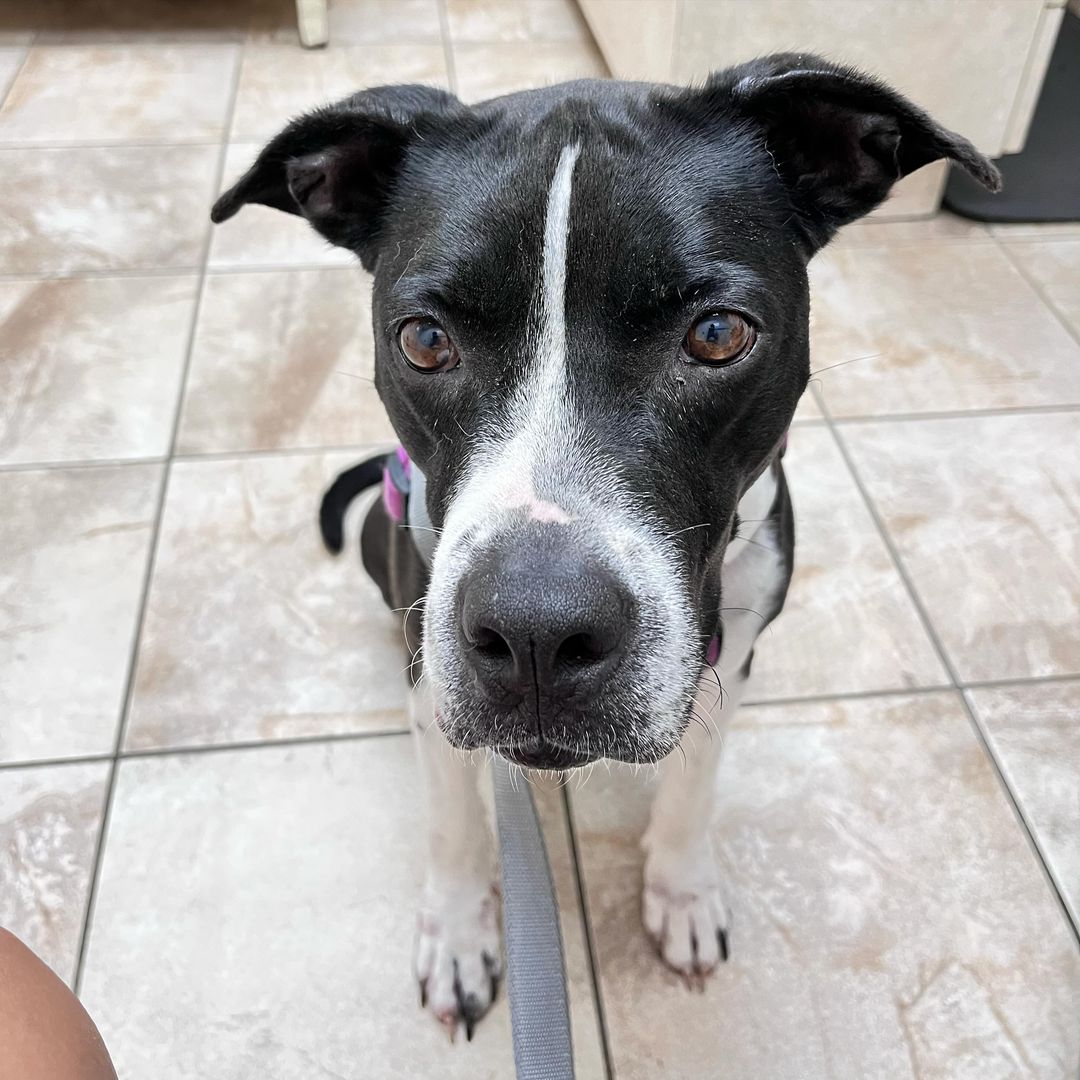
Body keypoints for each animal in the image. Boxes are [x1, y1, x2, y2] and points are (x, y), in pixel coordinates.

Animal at [208, 54, 993, 1032]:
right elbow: (453, 819)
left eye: (719, 334)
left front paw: (682, 892)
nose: (536, 634)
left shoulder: (729, 650)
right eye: (424, 341)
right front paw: (459, 932)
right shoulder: (434, 679)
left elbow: (695, 786)